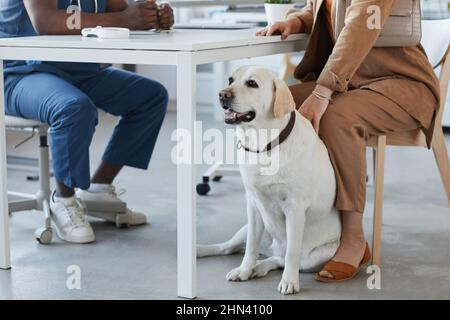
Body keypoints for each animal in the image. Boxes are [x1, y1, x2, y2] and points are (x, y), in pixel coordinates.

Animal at [197, 66, 342, 294]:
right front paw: (244, 270)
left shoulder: (295, 209)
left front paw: (289, 281)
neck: (263, 145)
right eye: (230, 80)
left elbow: (292, 253)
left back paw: (262, 267)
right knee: (227, 248)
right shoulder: (253, 204)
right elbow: (250, 247)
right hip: (247, 228)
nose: (222, 94)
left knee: (282, 258)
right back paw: (204, 251)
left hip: (317, 256)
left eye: (252, 83)